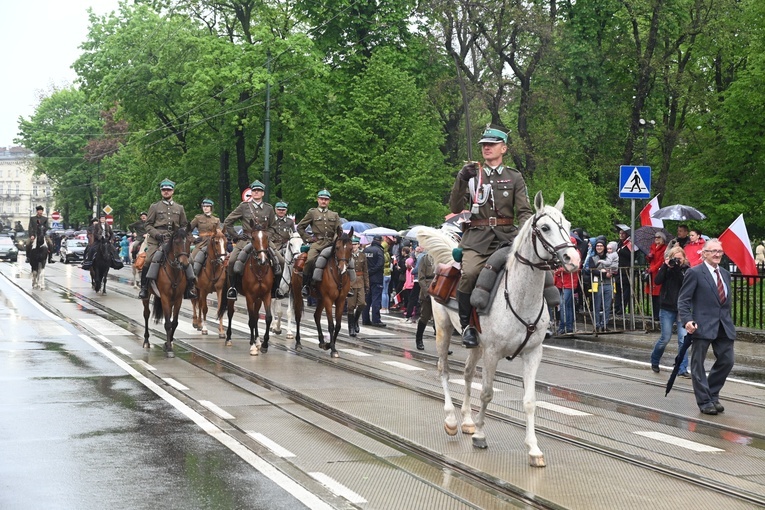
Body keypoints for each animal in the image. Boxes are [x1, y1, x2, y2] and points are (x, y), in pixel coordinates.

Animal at [418, 191, 580, 466]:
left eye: (568, 226)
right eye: (545, 228)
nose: (573, 259)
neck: (520, 295)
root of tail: (451, 260)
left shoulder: (533, 354)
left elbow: (529, 401)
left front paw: (534, 449)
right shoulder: (493, 353)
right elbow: (487, 393)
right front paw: (481, 436)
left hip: (475, 345)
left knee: (467, 374)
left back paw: (468, 421)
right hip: (443, 330)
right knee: (444, 371)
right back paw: (451, 420)